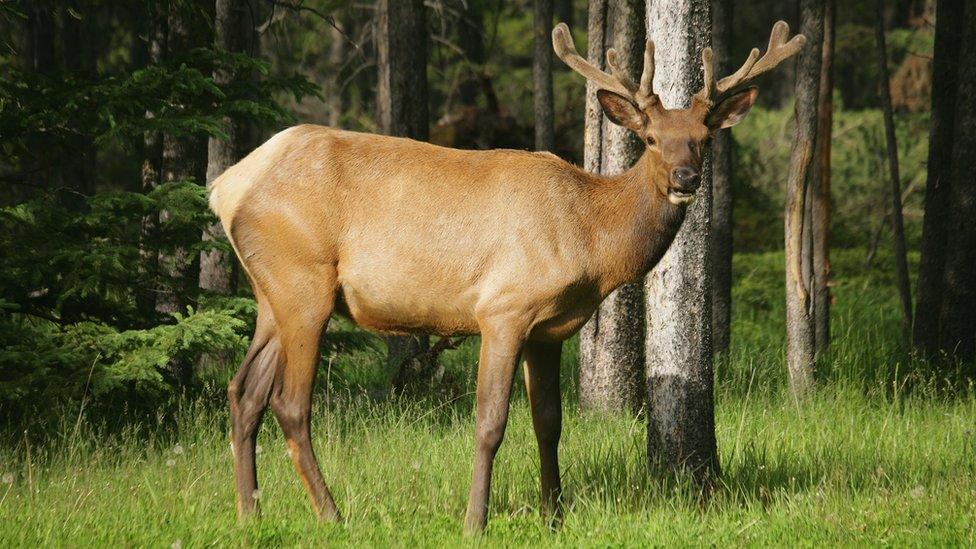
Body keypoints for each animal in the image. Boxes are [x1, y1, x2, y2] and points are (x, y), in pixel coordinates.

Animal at [208, 21, 808, 532]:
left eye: (703, 138)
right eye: (652, 138)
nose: (685, 178)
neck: (590, 239)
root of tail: (226, 186)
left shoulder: (549, 330)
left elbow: (550, 422)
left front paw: (554, 517)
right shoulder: (503, 308)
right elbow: (491, 422)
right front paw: (475, 521)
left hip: (270, 294)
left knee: (243, 392)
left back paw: (249, 514)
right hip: (304, 282)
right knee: (290, 404)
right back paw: (332, 516)